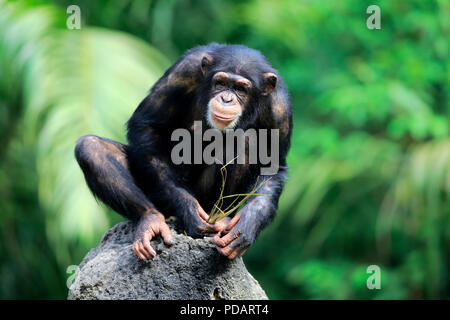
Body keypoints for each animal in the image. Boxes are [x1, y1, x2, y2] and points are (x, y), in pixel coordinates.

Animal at [74, 43, 292, 260]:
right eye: (220, 83)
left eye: (241, 89)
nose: (226, 99)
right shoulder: (184, 71)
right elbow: (147, 125)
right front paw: (188, 208)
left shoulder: (279, 108)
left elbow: (273, 166)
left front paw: (247, 225)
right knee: (90, 147)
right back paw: (151, 220)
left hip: (208, 202)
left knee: (243, 140)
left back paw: (221, 220)